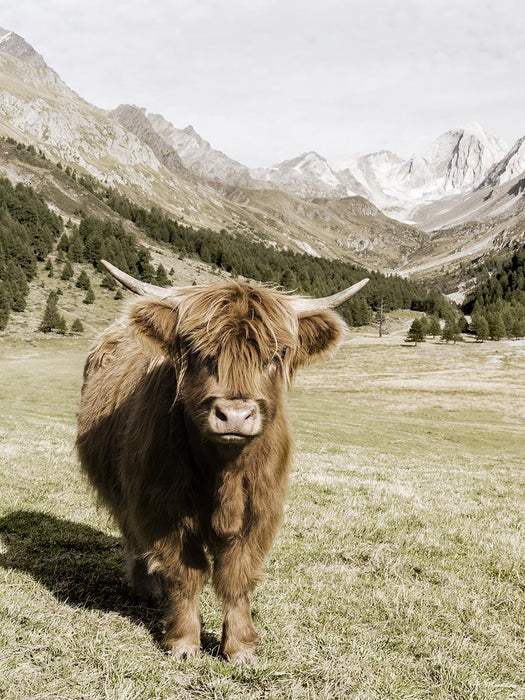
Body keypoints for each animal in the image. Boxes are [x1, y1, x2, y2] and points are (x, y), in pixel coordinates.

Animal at [75, 262, 366, 660]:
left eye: (274, 356)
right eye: (199, 352)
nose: (235, 415)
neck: (224, 472)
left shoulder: (259, 512)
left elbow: (237, 577)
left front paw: (240, 647)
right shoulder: (163, 508)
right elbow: (186, 574)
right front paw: (183, 643)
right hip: (124, 493)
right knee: (132, 534)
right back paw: (147, 588)